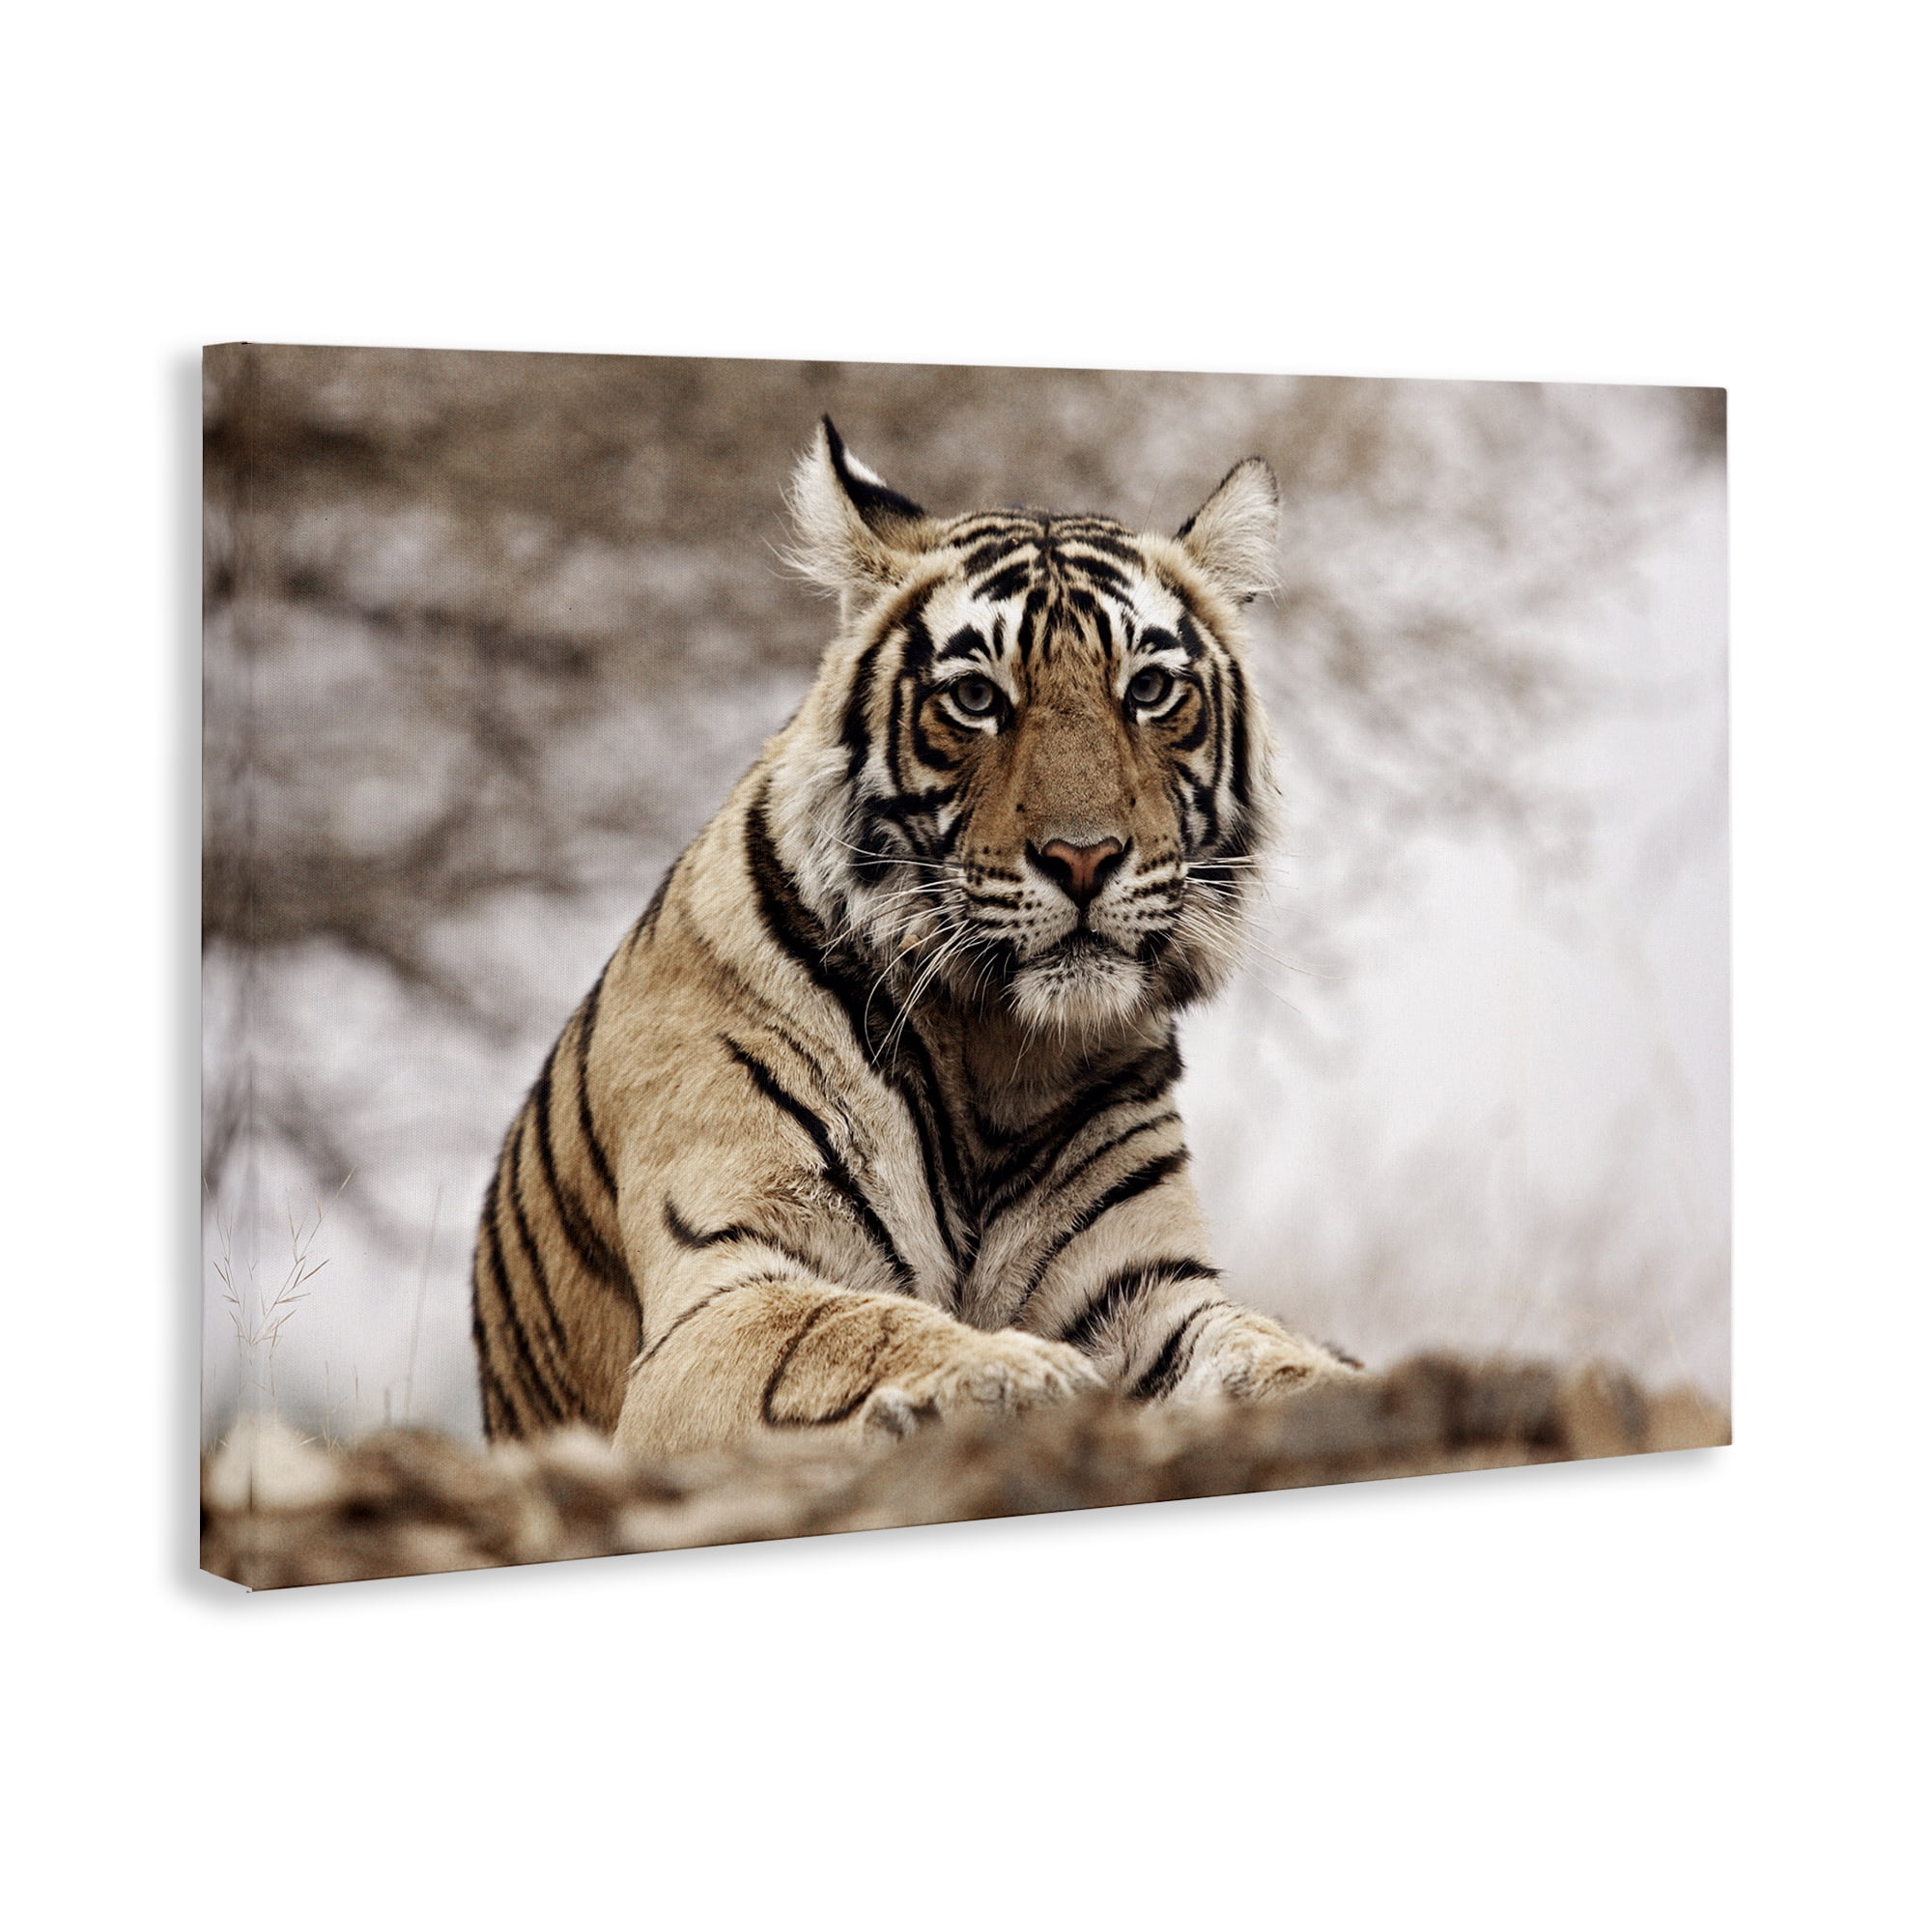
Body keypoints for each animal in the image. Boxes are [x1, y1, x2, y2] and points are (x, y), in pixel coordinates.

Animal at [472, 418, 1359, 1457]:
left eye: (1147, 688)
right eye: (975, 697)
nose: (1085, 856)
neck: (999, 1054)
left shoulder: (1146, 1290)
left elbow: (1261, 1349)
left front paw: (1335, 1383)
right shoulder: (722, 1289)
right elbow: (849, 1328)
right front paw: (1014, 1371)